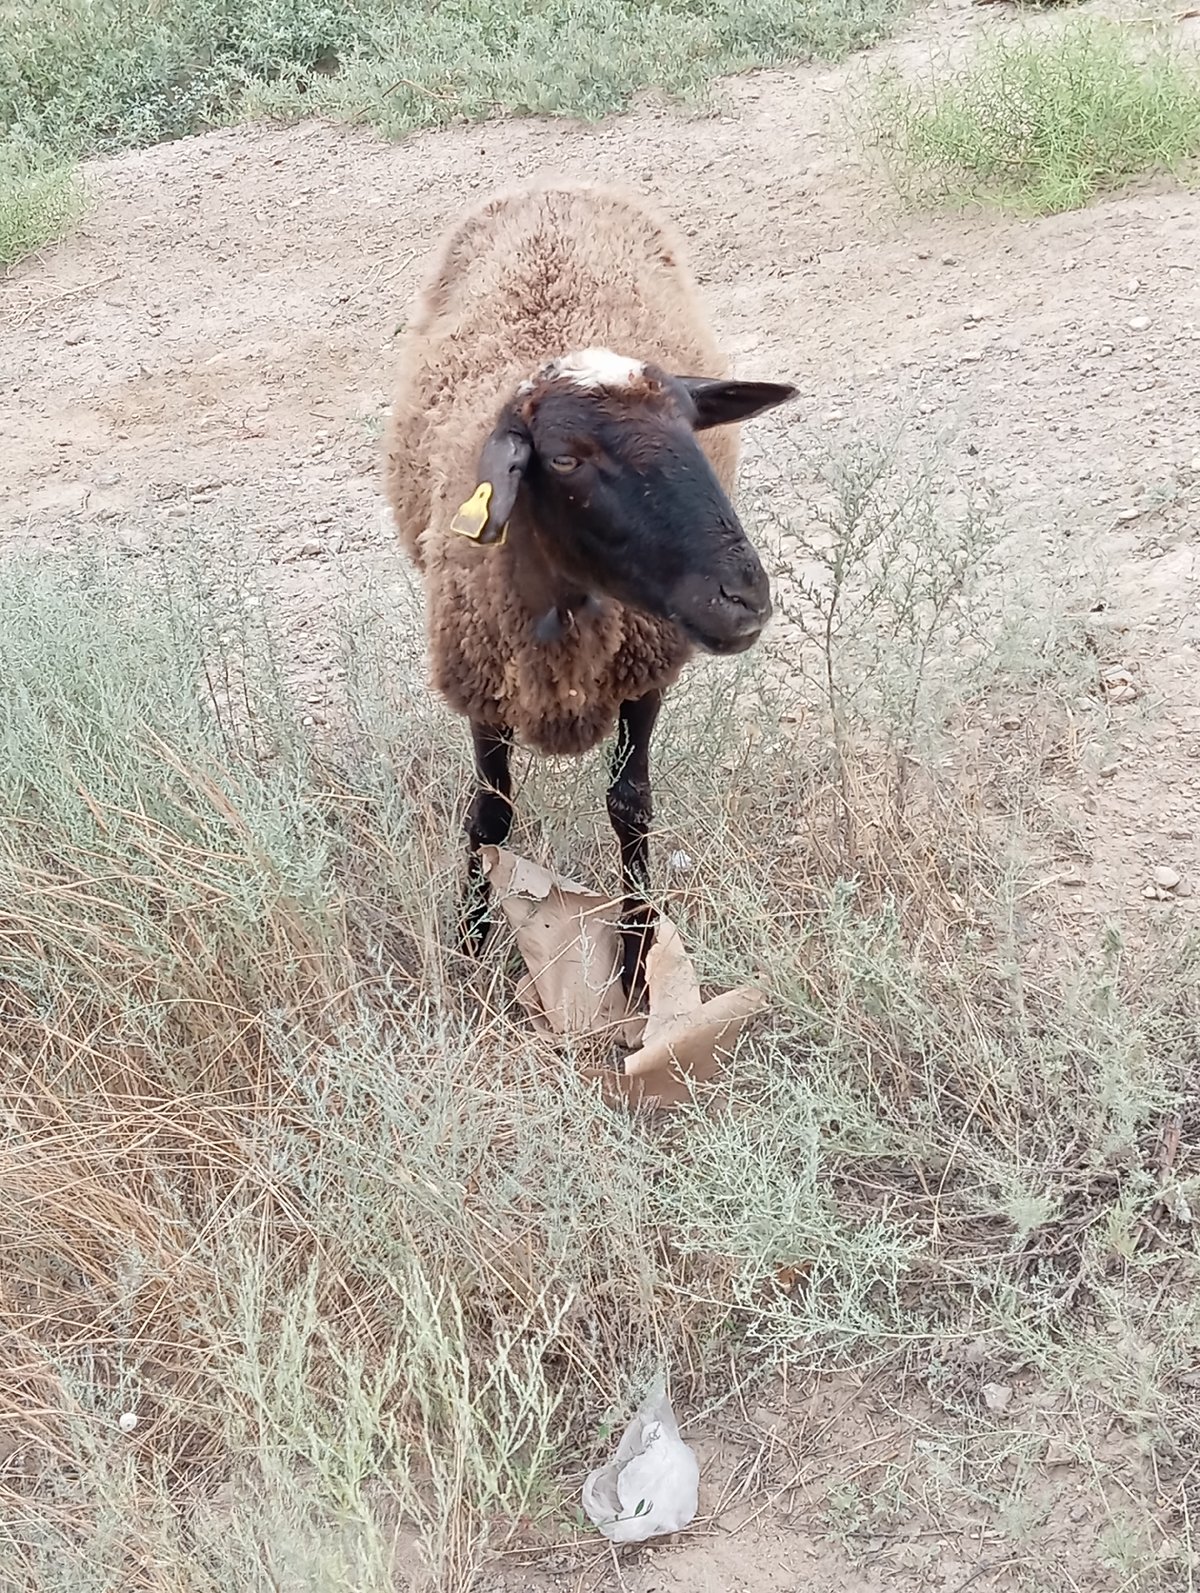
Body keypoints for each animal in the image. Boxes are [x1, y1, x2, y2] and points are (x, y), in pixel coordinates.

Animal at [383, 179, 796, 1000]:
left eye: (693, 426)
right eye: (566, 459)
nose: (743, 596)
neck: (562, 611)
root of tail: (549, 187)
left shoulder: (646, 671)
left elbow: (630, 806)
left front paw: (637, 962)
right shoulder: (484, 685)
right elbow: (491, 815)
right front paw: (470, 944)